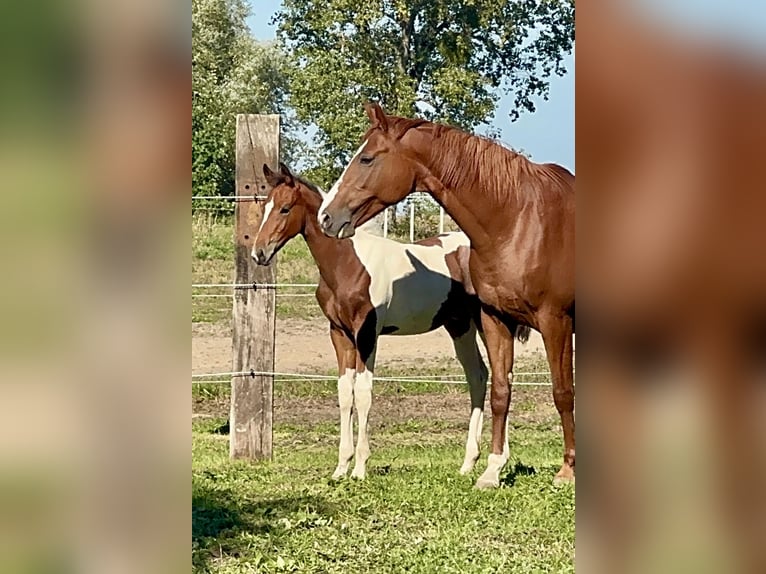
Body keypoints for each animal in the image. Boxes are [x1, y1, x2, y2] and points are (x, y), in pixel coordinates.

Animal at [252, 162, 530, 480]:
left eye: (285, 208)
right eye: (264, 207)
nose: (259, 253)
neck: (348, 264)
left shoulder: (367, 334)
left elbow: (362, 393)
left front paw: (359, 468)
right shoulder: (339, 333)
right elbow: (344, 393)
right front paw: (340, 468)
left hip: (486, 322)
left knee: (501, 375)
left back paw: (497, 459)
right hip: (459, 325)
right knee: (479, 376)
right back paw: (469, 462)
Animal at [317, 103, 575, 489]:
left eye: (366, 158)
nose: (326, 217)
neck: (517, 221)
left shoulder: (555, 321)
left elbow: (562, 392)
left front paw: (567, 470)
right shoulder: (495, 318)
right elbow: (501, 392)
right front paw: (491, 471)